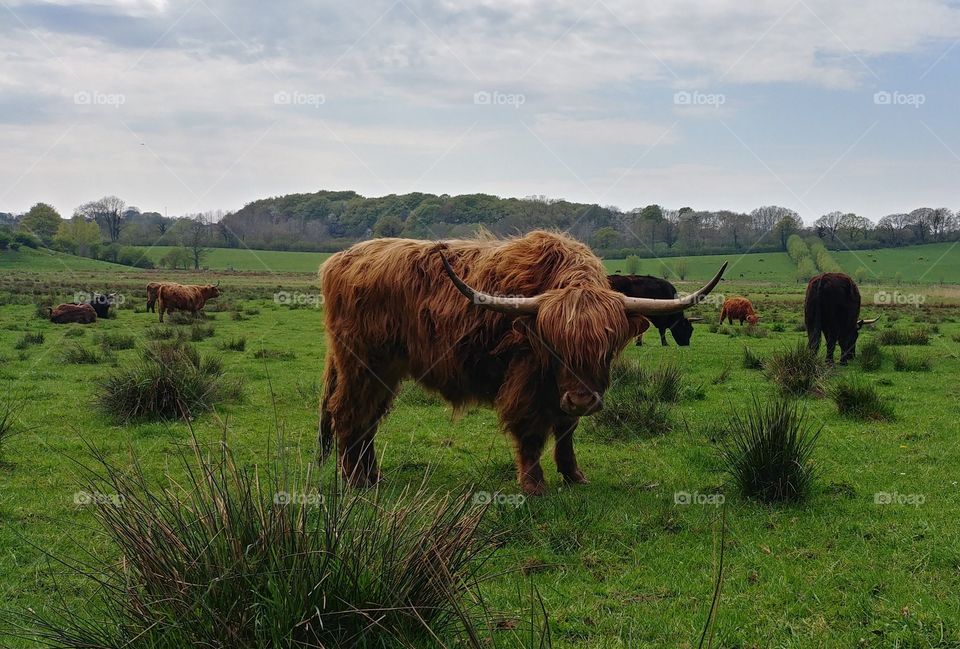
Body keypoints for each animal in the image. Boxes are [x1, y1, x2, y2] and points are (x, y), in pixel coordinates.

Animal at [318, 231, 726, 495]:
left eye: (606, 350)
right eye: (555, 347)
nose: (582, 400)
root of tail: (340, 259)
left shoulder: (564, 394)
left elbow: (566, 431)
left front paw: (574, 475)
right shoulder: (526, 381)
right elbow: (530, 433)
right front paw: (535, 485)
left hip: (385, 372)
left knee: (369, 420)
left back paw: (374, 477)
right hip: (362, 364)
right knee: (349, 414)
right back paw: (355, 481)